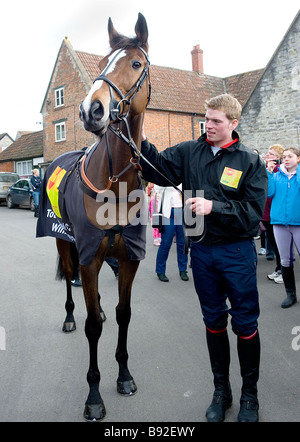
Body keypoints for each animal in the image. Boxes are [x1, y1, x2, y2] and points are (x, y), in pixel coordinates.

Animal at [38, 12, 150, 422]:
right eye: (102, 63)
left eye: (136, 63)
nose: (92, 110)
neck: (114, 183)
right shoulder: (87, 256)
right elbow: (91, 329)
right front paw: (94, 395)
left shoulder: (128, 259)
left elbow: (123, 314)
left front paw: (124, 375)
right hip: (65, 245)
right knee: (72, 290)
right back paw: (70, 317)